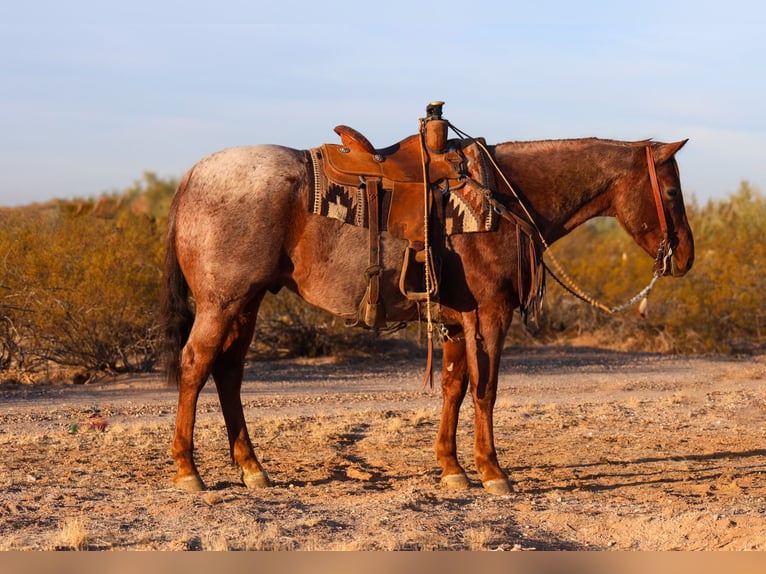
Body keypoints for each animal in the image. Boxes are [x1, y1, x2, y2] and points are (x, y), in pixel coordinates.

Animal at [162, 118, 696, 496]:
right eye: (671, 191)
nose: (686, 256)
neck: (503, 200)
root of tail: (191, 176)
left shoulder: (457, 321)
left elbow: (455, 389)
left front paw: (452, 468)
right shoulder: (491, 314)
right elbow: (486, 390)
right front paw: (493, 472)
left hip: (246, 304)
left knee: (228, 372)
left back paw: (252, 468)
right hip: (222, 303)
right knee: (195, 364)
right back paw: (189, 471)